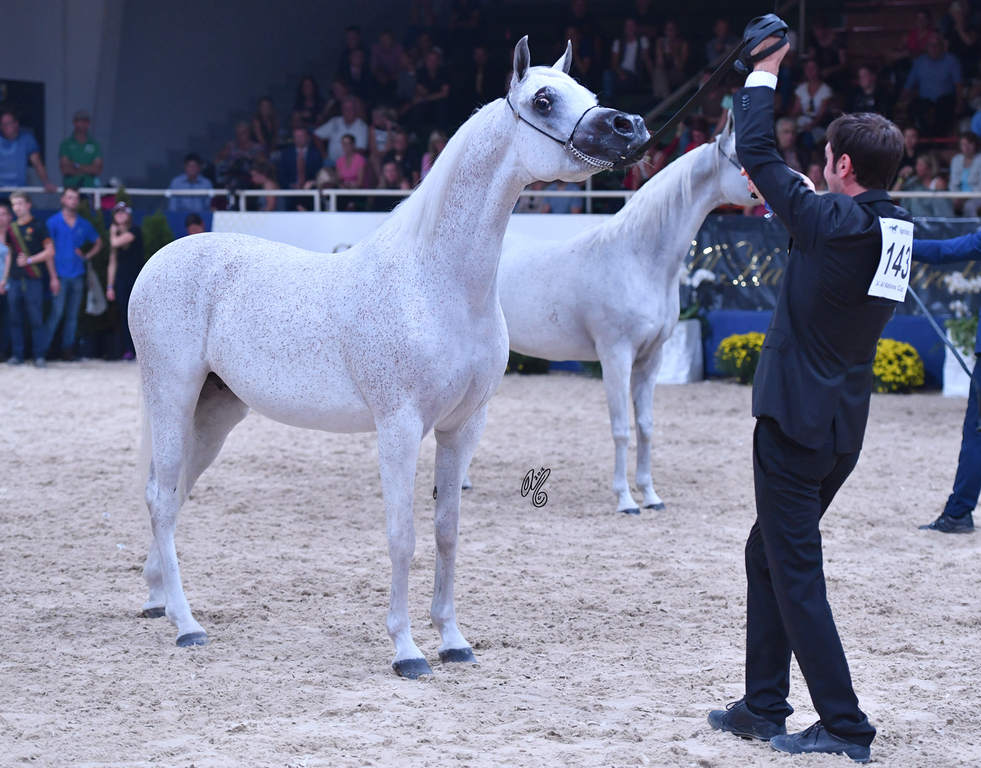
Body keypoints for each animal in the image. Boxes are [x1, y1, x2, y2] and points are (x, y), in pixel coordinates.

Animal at [129, 37, 648, 678]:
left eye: (591, 93)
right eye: (544, 99)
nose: (631, 128)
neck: (438, 285)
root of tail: (160, 259)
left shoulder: (463, 427)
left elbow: (447, 531)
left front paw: (452, 639)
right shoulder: (399, 427)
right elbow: (403, 534)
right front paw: (407, 650)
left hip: (215, 411)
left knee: (171, 495)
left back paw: (157, 600)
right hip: (172, 397)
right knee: (161, 498)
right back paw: (186, 625)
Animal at [497, 114, 755, 514]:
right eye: (744, 157)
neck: (636, 256)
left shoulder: (652, 358)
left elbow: (645, 426)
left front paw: (650, 495)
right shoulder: (616, 356)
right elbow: (621, 429)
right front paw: (625, 499)